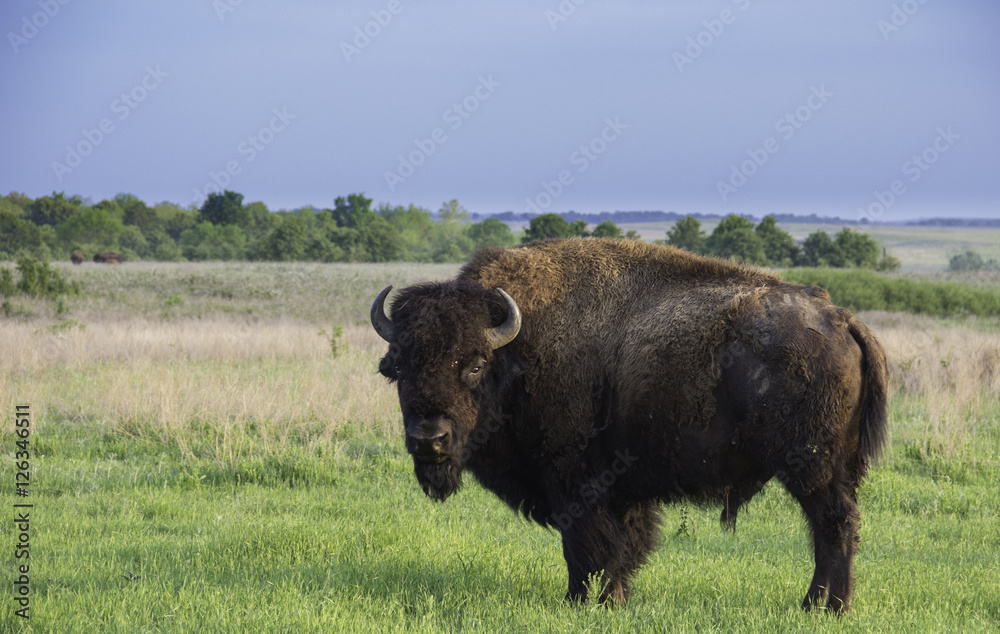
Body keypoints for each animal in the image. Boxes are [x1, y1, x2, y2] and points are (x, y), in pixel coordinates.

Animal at [372, 238, 888, 612]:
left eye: (475, 365)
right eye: (398, 366)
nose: (429, 438)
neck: (518, 351)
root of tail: (841, 319)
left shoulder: (574, 482)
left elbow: (587, 547)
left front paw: (582, 603)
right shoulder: (623, 489)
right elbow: (623, 546)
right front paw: (613, 600)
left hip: (811, 468)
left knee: (834, 526)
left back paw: (828, 607)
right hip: (837, 469)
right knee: (830, 529)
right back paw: (815, 605)